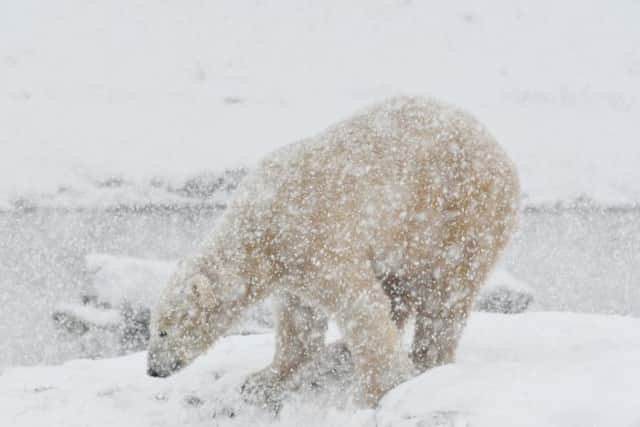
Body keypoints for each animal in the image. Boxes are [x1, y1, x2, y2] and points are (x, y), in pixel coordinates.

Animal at [146, 96, 520, 406]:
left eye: (163, 330)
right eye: (152, 329)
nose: (153, 369)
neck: (261, 227)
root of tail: (501, 153)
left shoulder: (316, 235)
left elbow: (360, 304)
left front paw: (381, 390)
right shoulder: (290, 262)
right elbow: (300, 321)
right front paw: (260, 382)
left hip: (459, 213)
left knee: (446, 296)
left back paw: (426, 363)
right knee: (398, 290)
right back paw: (342, 351)